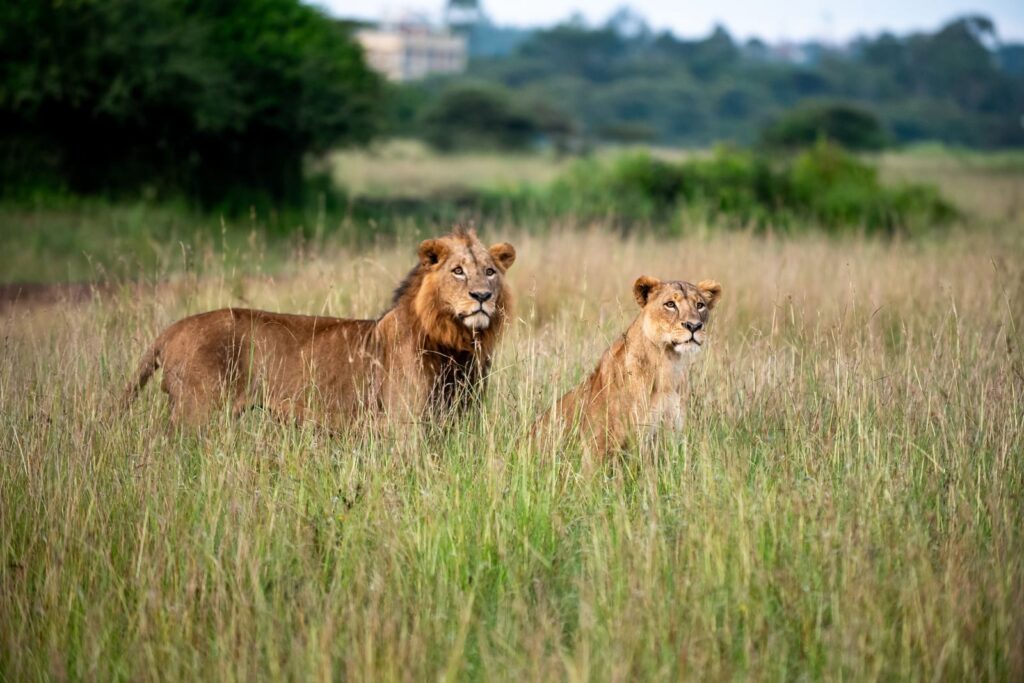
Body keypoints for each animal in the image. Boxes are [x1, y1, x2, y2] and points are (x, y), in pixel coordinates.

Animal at [124, 227, 516, 428]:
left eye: (490, 272)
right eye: (458, 271)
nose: (482, 296)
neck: (456, 343)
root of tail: (172, 329)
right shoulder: (403, 424)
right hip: (198, 412)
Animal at [532, 275, 721, 461]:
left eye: (700, 305)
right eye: (670, 304)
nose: (694, 326)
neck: (668, 364)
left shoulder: (670, 435)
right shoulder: (602, 444)